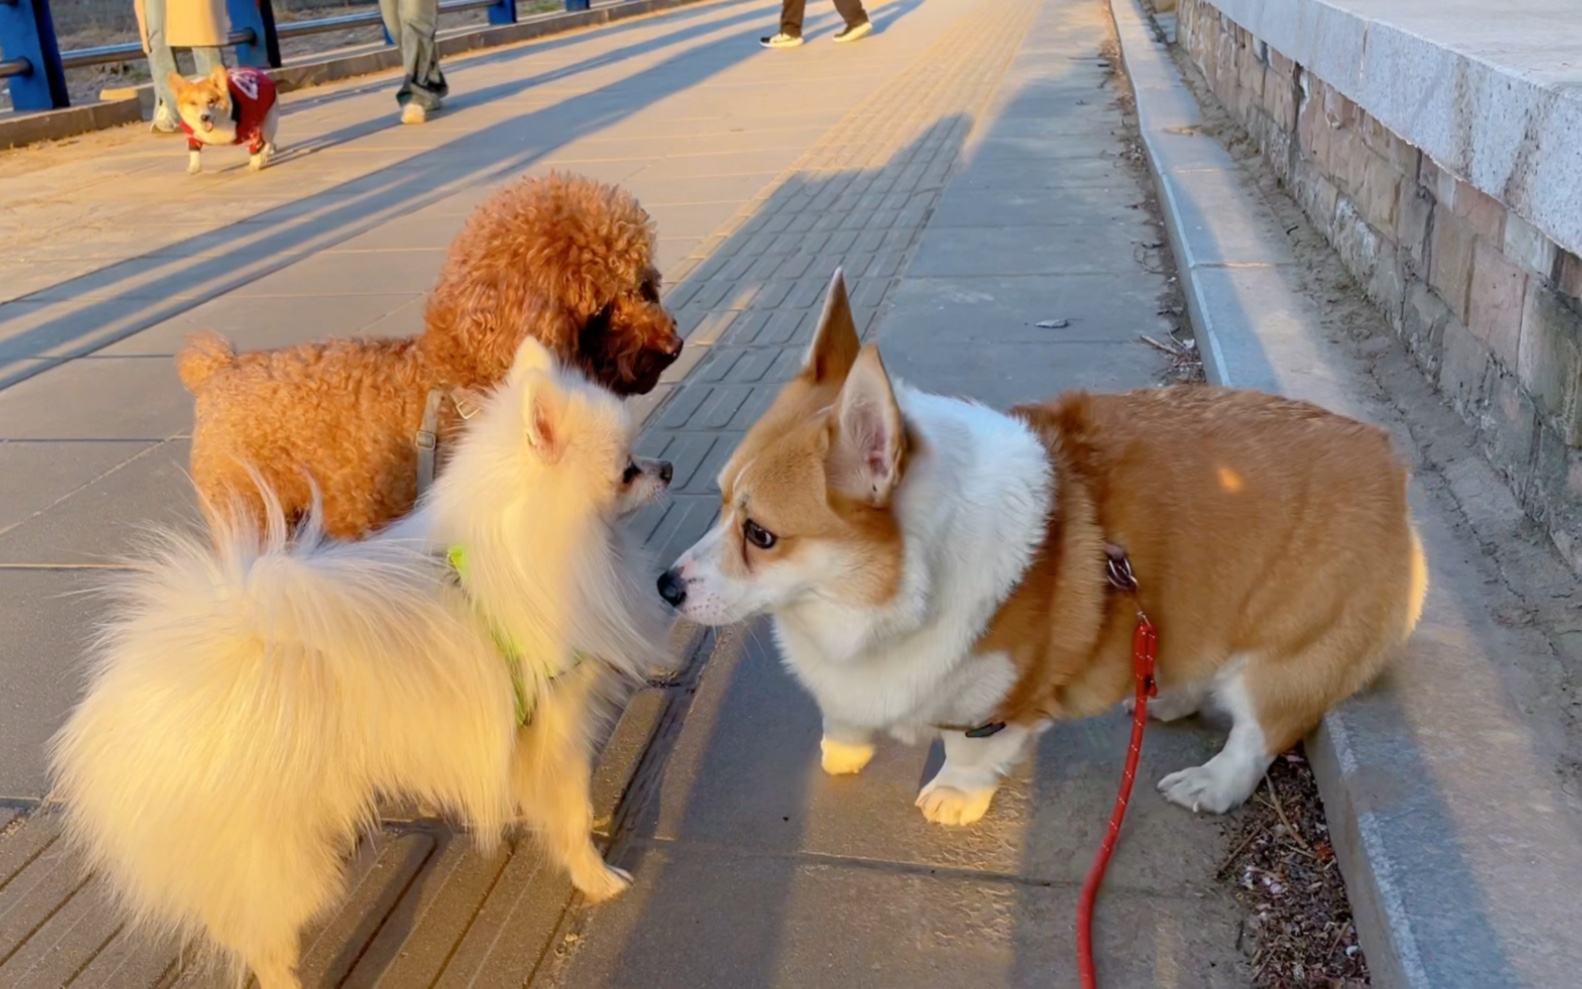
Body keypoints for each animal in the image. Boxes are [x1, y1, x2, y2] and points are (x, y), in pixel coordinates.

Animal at [49, 337, 677, 987]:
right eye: (626, 469)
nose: (668, 470)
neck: (540, 554)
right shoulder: (557, 729)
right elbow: (575, 817)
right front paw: (598, 879)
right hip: (281, 854)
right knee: (263, 936)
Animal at [181, 169, 686, 541]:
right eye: (601, 311)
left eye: (644, 285)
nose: (672, 347)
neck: (468, 382)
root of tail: (215, 370)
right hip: (249, 512)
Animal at [661, 267, 1430, 822]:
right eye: (720, 502)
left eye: (761, 535)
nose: (666, 585)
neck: (885, 588)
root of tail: (1387, 457)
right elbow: (844, 714)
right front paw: (843, 747)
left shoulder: (997, 707)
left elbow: (970, 751)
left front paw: (953, 796)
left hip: (1288, 652)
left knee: (1261, 728)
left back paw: (1210, 782)